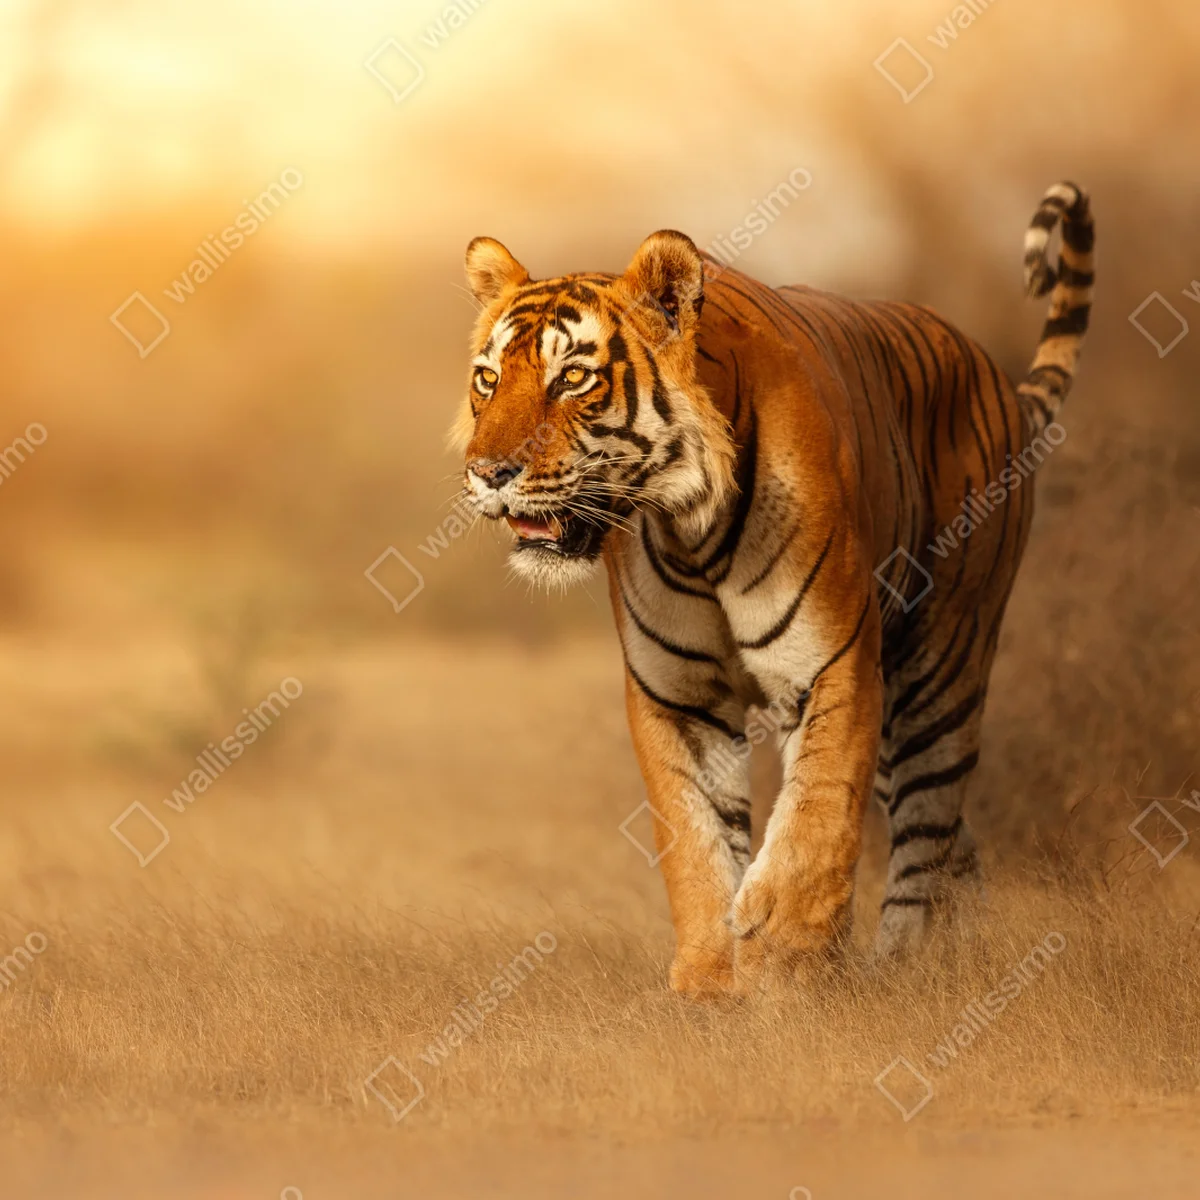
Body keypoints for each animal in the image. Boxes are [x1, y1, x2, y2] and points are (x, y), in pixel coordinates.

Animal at [452, 181, 1094, 996]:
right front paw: (708, 979)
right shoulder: (678, 696)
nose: (486, 473)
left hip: (940, 665)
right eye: (488, 378)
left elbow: (815, 817)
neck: (689, 527)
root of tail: (996, 378)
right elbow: (694, 838)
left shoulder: (833, 664)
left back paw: (905, 966)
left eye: (573, 377)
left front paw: (784, 961)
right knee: (955, 840)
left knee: (928, 826)